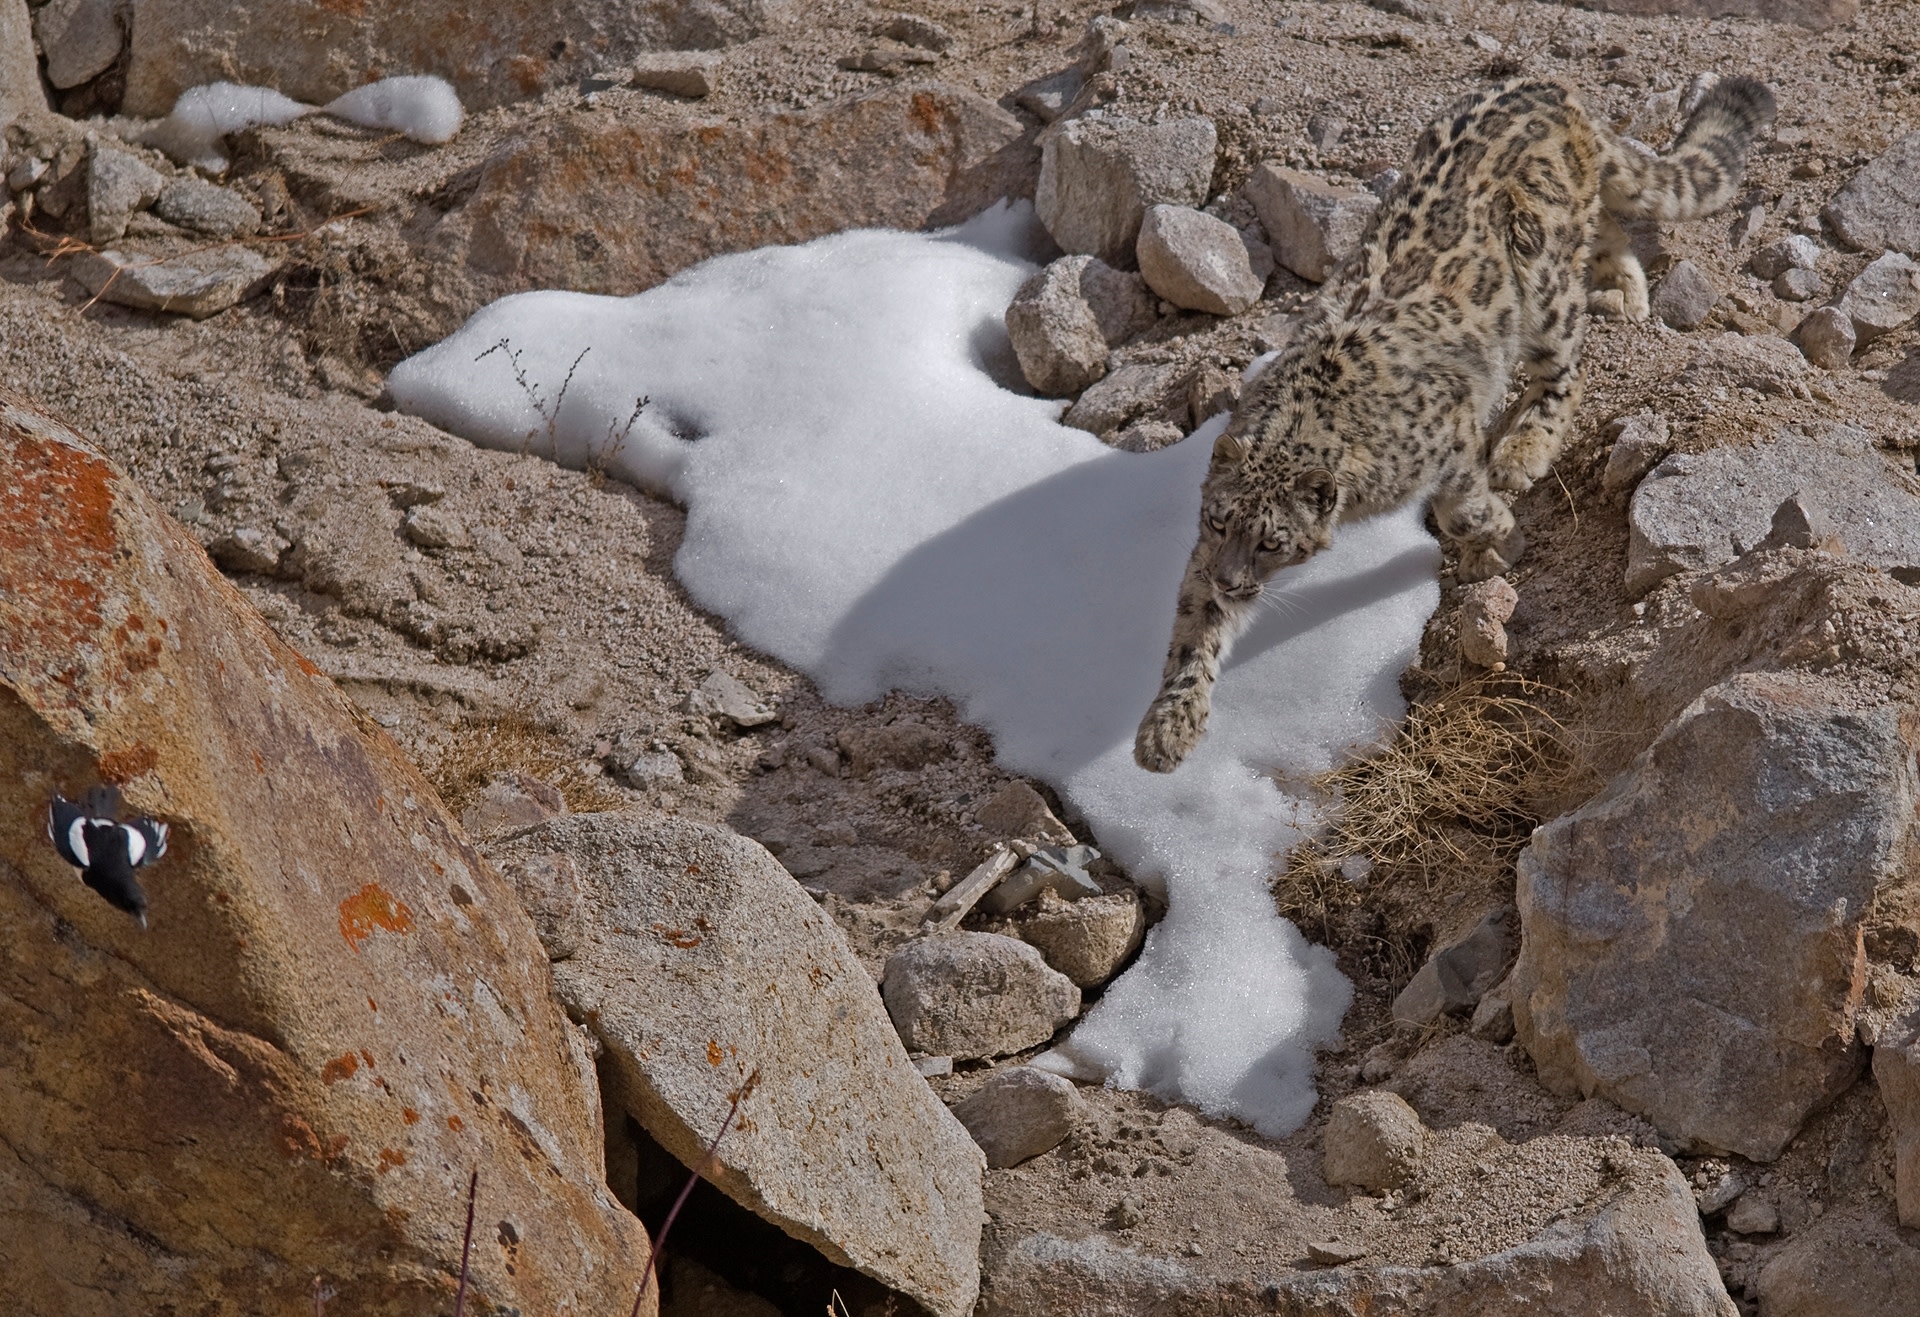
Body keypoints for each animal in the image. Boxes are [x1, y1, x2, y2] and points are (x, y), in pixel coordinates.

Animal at [1135, 74, 1775, 774]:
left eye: (1274, 541)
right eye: (1220, 521)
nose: (1231, 581)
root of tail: (1550, 87)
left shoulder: (1450, 434)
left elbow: (1462, 509)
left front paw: (1497, 544)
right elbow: (1193, 623)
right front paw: (1166, 728)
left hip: (1539, 279)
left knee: (1567, 359)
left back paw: (1524, 448)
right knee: (1608, 233)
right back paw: (1629, 294)